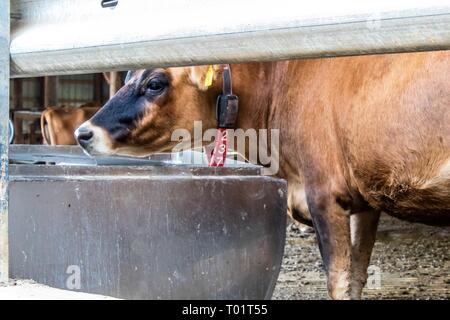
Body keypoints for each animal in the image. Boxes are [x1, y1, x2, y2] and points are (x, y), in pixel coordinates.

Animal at [75, 51, 448, 298]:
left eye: (154, 83)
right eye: (127, 77)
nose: (83, 132)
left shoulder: (324, 193)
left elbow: (338, 281)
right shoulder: (365, 201)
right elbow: (357, 276)